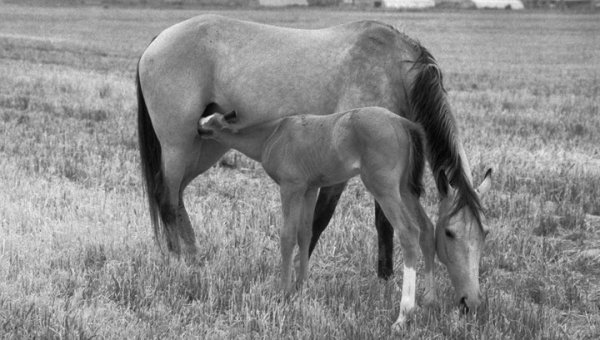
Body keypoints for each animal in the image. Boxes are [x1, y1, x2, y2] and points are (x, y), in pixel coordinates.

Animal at [197, 107, 436, 330]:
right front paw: (301, 286)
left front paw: (283, 293)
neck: (273, 133)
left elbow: (287, 236)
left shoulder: (291, 187)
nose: (198, 126)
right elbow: (305, 233)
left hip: (383, 188)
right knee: (426, 228)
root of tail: (403, 123)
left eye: (211, 122)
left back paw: (404, 314)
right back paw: (429, 300)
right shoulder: (310, 188)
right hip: (405, 189)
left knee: (409, 232)